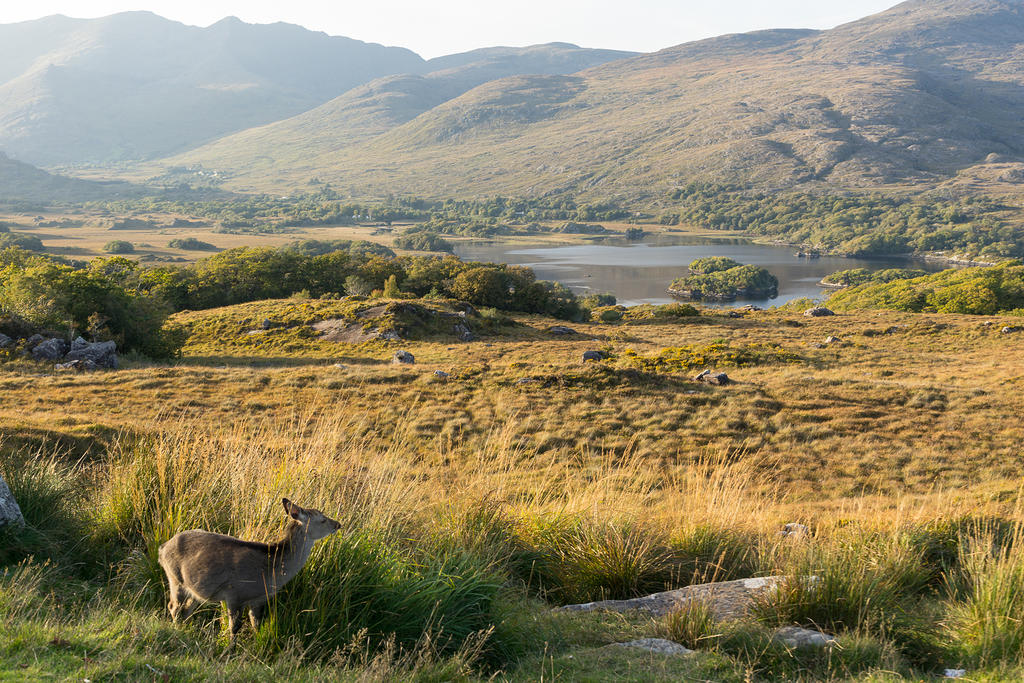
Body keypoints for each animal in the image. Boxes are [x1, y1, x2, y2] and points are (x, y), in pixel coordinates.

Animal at [154, 499, 339, 643]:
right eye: (322, 519)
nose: (338, 524)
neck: (269, 572)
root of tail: (162, 549)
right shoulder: (234, 593)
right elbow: (235, 627)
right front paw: (230, 650)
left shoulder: (259, 599)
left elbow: (256, 624)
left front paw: (258, 646)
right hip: (175, 578)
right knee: (174, 607)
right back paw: (176, 630)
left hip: (193, 589)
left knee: (185, 609)